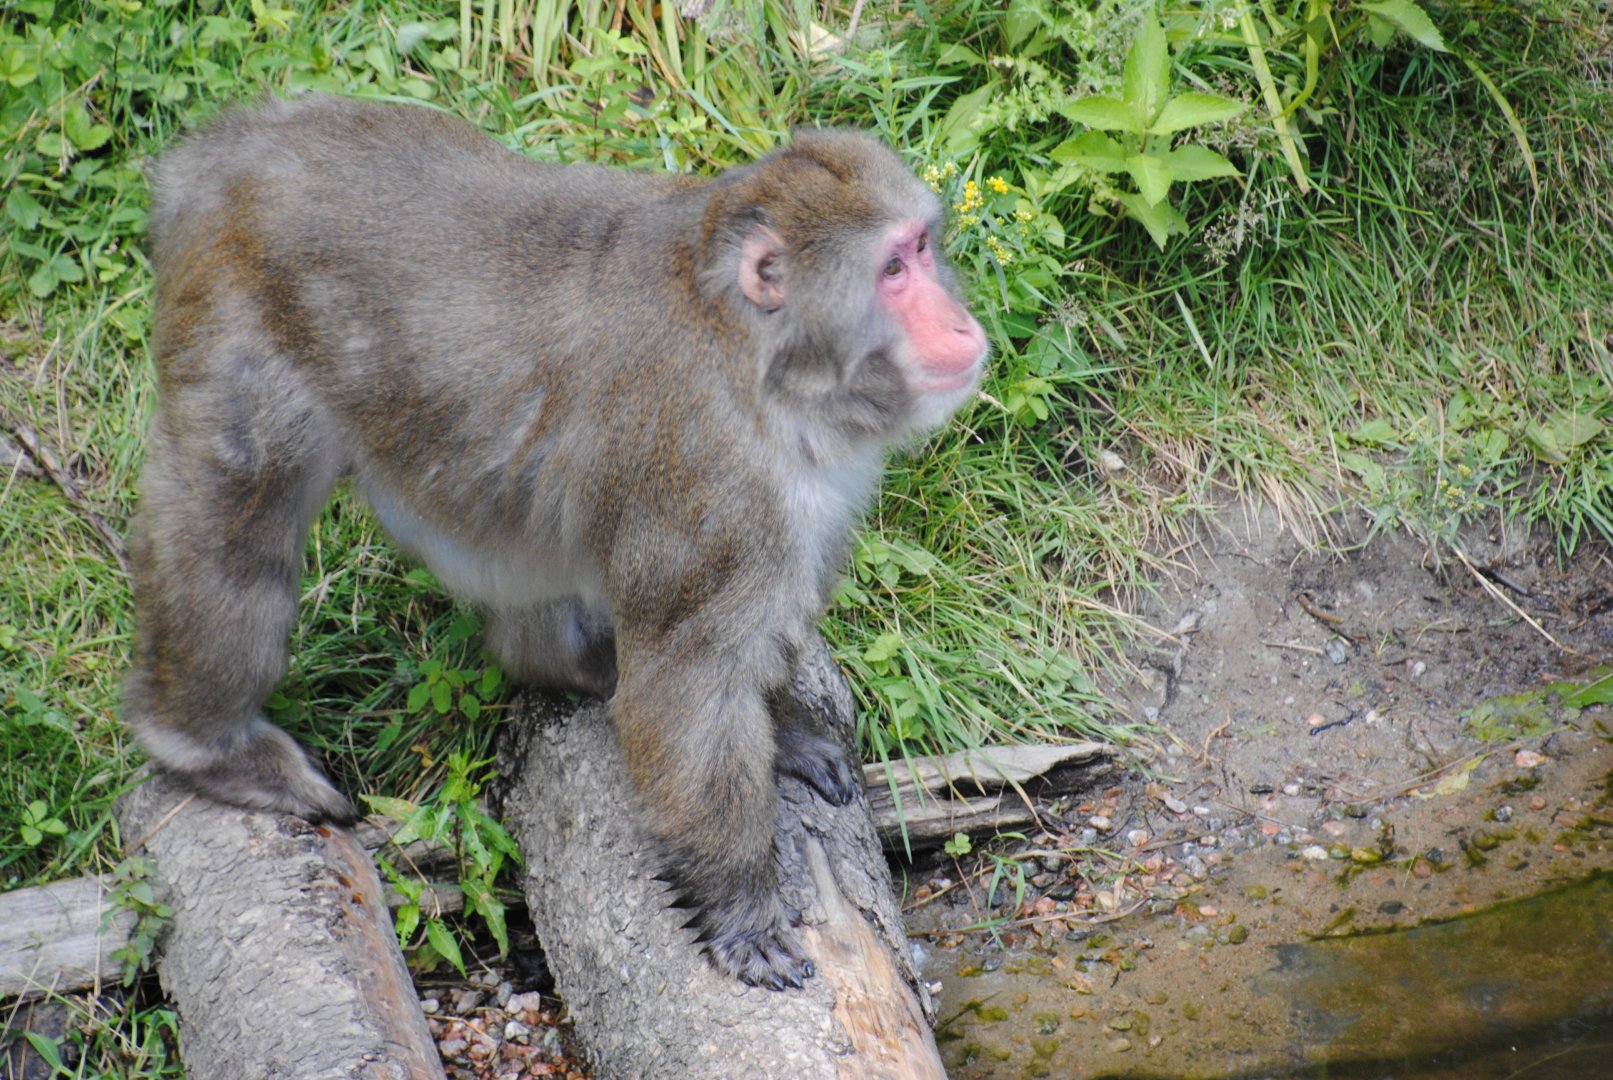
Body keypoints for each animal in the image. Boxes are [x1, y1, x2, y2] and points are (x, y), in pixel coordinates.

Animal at [125, 94, 988, 990]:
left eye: (922, 249)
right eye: (893, 270)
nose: (961, 325)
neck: (759, 358)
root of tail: (227, 148)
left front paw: (780, 728)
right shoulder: (715, 487)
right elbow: (688, 687)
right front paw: (741, 908)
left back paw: (565, 662)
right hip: (231, 325)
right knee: (236, 523)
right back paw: (208, 745)